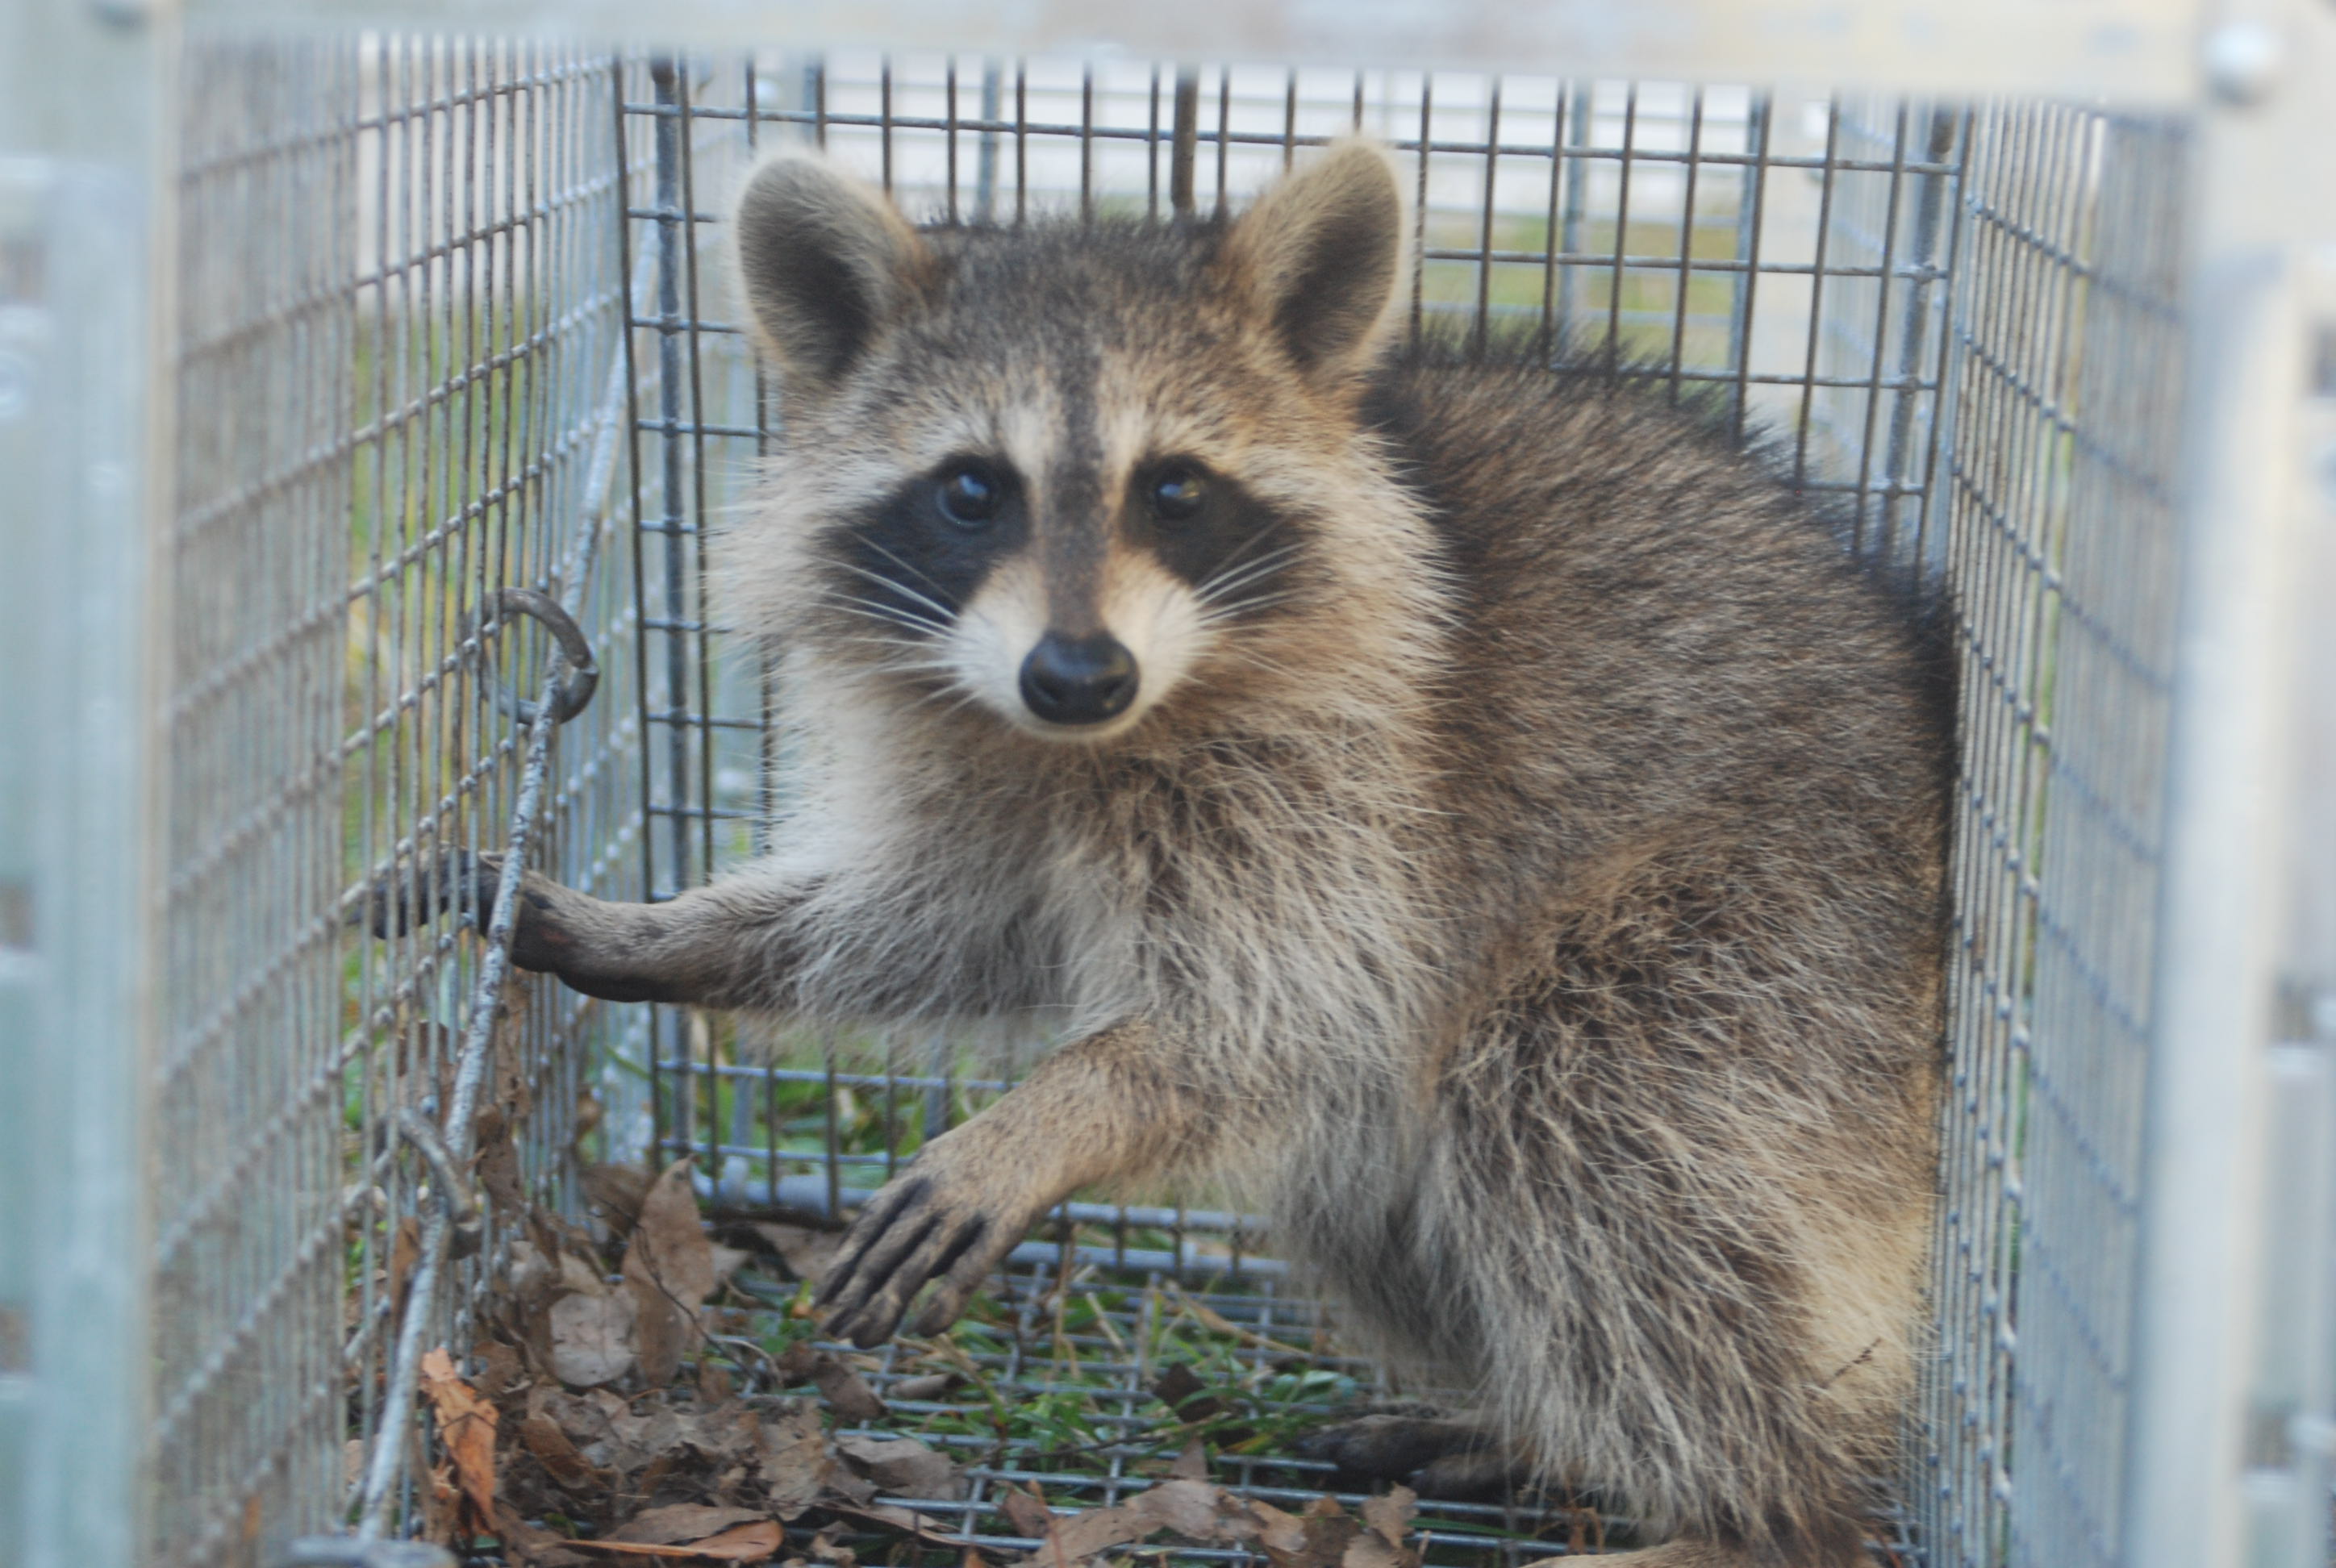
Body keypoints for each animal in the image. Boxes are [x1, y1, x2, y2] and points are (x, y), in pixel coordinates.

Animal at [397, 147, 1953, 1568]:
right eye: (973, 489)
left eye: (1176, 490)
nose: (1078, 672)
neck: (1088, 741)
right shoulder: (992, 764)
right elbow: (934, 927)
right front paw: (651, 931)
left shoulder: (1354, 780)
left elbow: (1285, 1012)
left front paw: (1054, 1112)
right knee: (1399, 1189)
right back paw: (1553, 1434)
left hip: (1790, 951)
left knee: (1578, 1112)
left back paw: (1752, 1511)